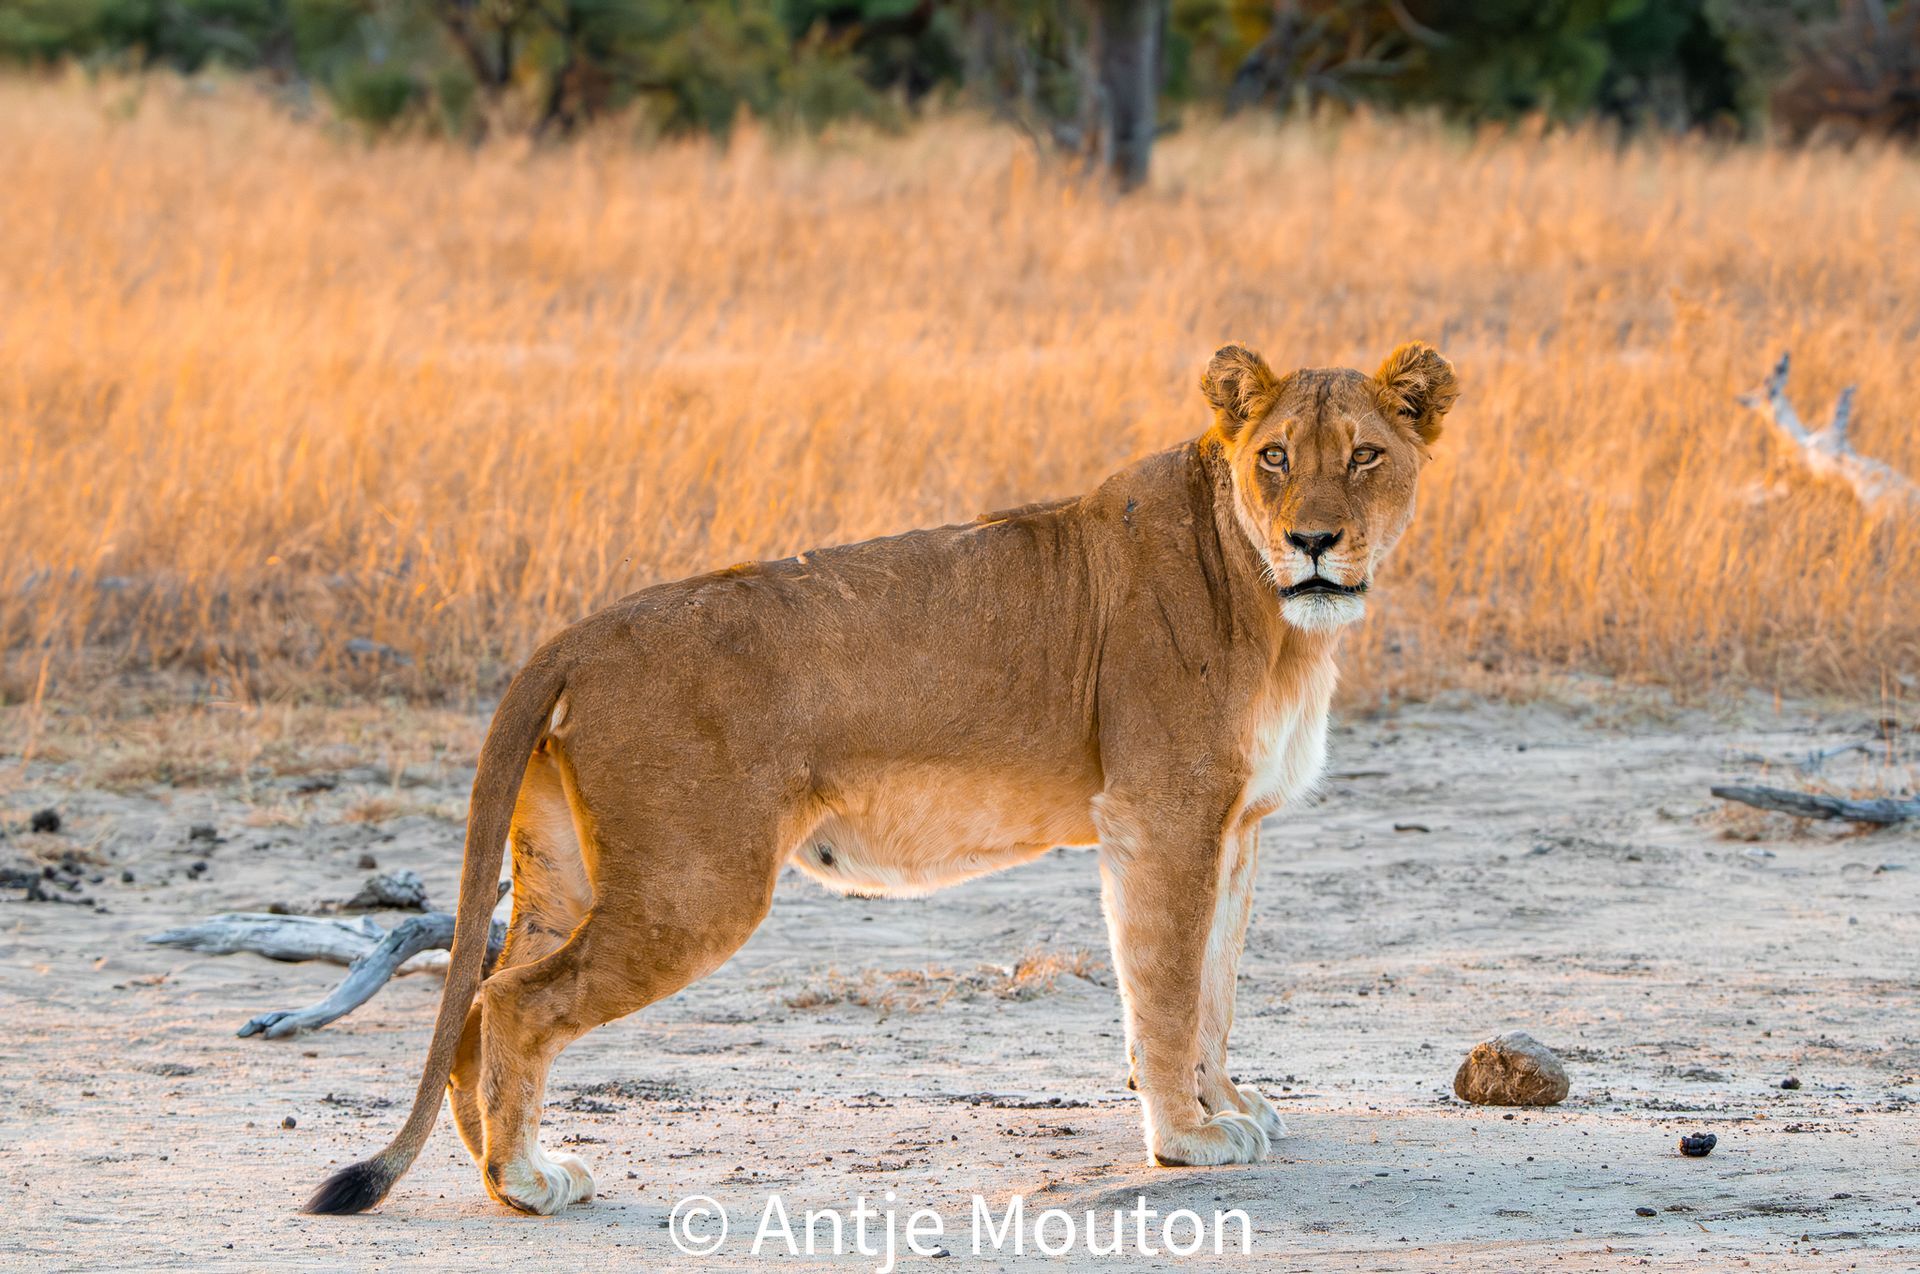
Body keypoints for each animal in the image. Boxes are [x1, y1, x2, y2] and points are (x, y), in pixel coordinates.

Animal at [304, 341, 1459, 1216]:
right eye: (1273, 456)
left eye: (1364, 454)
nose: (1314, 540)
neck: (1281, 618)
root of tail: (577, 632)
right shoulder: (1161, 814)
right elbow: (1170, 989)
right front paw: (1186, 1139)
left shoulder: (1235, 826)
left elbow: (1217, 986)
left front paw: (1234, 1107)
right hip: (695, 886)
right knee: (512, 999)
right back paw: (524, 1181)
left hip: (565, 867)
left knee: (482, 989)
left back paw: (501, 1165)